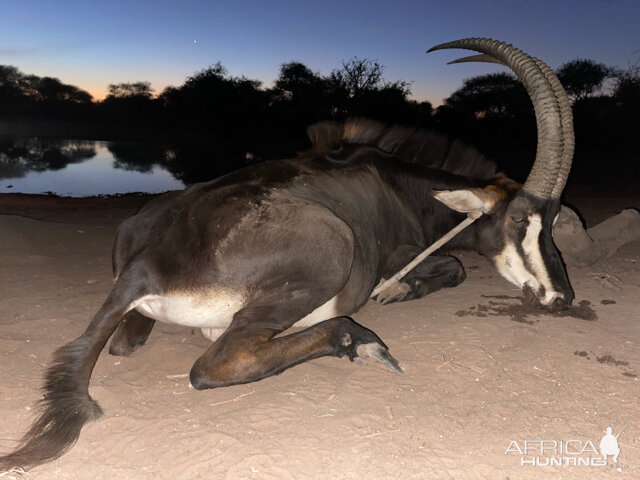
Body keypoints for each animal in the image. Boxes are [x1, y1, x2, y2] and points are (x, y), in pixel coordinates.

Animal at [1, 39, 576, 470]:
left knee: (126, 341)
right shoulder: (397, 255)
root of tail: (147, 265)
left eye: (553, 221)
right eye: (520, 220)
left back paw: (135, 333)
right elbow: (451, 267)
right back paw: (357, 340)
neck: (399, 184)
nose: (562, 297)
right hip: (333, 249)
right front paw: (400, 292)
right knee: (215, 363)